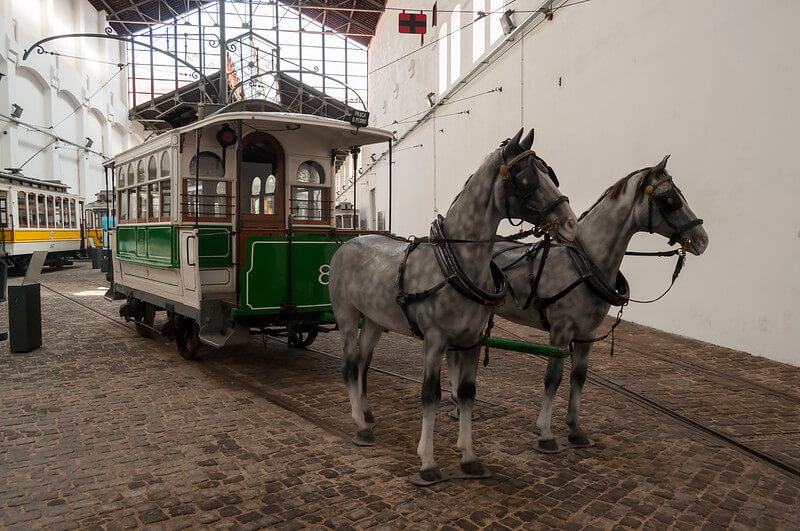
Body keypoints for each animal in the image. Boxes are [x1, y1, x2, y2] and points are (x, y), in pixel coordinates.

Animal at [328, 130, 580, 486]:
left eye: (550, 174)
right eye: (528, 178)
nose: (571, 224)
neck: (454, 263)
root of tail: (347, 243)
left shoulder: (471, 341)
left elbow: (467, 392)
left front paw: (469, 456)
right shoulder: (435, 342)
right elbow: (430, 394)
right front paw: (428, 462)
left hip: (375, 321)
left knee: (364, 364)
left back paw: (366, 413)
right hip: (348, 316)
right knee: (349, 366)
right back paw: (361, 426)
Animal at [494, 155, 708, 454]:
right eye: (670, 199)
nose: (702, 239)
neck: (584, 265)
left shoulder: (587, 333)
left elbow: (579, 376)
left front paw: (576, 430)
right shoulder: (560, 331)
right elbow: (553, 377)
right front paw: (546, 433)